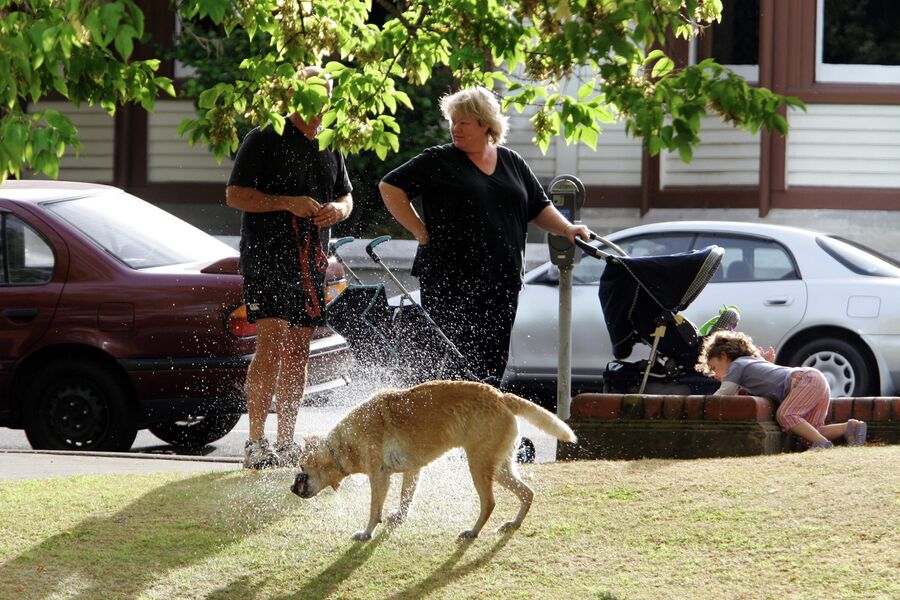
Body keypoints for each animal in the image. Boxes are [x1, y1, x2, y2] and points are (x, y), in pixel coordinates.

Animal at [292, 382, 580, 540]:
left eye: (302, 469)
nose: (292, 489)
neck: (343, 444)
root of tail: (501, 396)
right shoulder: (412, 470)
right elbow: (405, 499)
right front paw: (398, 519)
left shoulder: (379, 477)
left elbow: (374, 511)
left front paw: (366, 534)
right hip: (498, 467)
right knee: (527, 493)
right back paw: (513, 524)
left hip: (478, 466)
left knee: (489, 503)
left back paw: (472, 532)